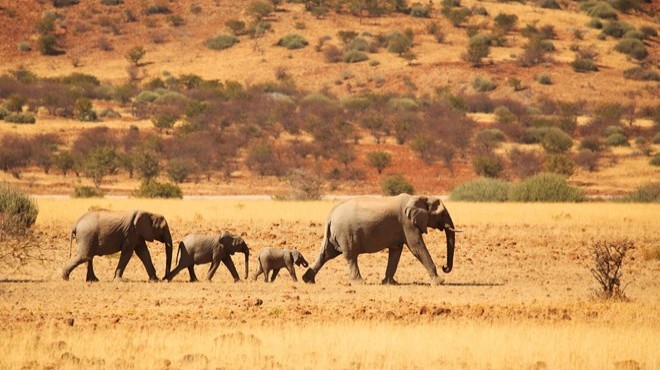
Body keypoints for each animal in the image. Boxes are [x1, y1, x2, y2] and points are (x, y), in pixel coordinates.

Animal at [302, 194, 462, 286]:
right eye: (442, 214)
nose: (445, 267)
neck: (420, 197)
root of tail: (330, 215)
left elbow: (396, 251)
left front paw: (390, 283)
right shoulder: (407, 223)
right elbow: (417, 247)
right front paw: (440, 282)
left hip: (336, 234)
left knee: (326, 254)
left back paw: (307, 280)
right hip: (345, 233)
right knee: (351, 256)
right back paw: (359, 283)